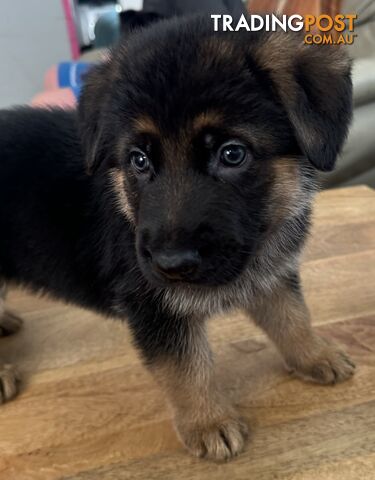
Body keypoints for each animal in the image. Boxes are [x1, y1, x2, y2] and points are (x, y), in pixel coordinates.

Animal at [0, 15, 356, 462]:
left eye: (232, 154)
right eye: (138, 160)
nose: (171, 265)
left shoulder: (270, 274)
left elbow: (292, 316)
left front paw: (315, 354)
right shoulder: (154, 307)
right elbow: (186, 370)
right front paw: (208, 422)